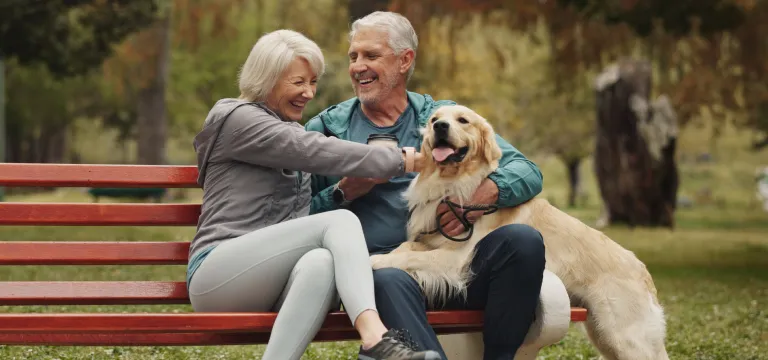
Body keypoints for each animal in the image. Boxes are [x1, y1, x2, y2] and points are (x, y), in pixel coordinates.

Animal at [368, 105, 668, 360]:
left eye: (463, 120)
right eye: (433, 120)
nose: (441, 126)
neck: (453, 182)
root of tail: (643, 271)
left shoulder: (455, 259)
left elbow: (407, 257)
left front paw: (374, 261)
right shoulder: (429, 241)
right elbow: (406, 249)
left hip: (626, 338)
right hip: (603, 335)